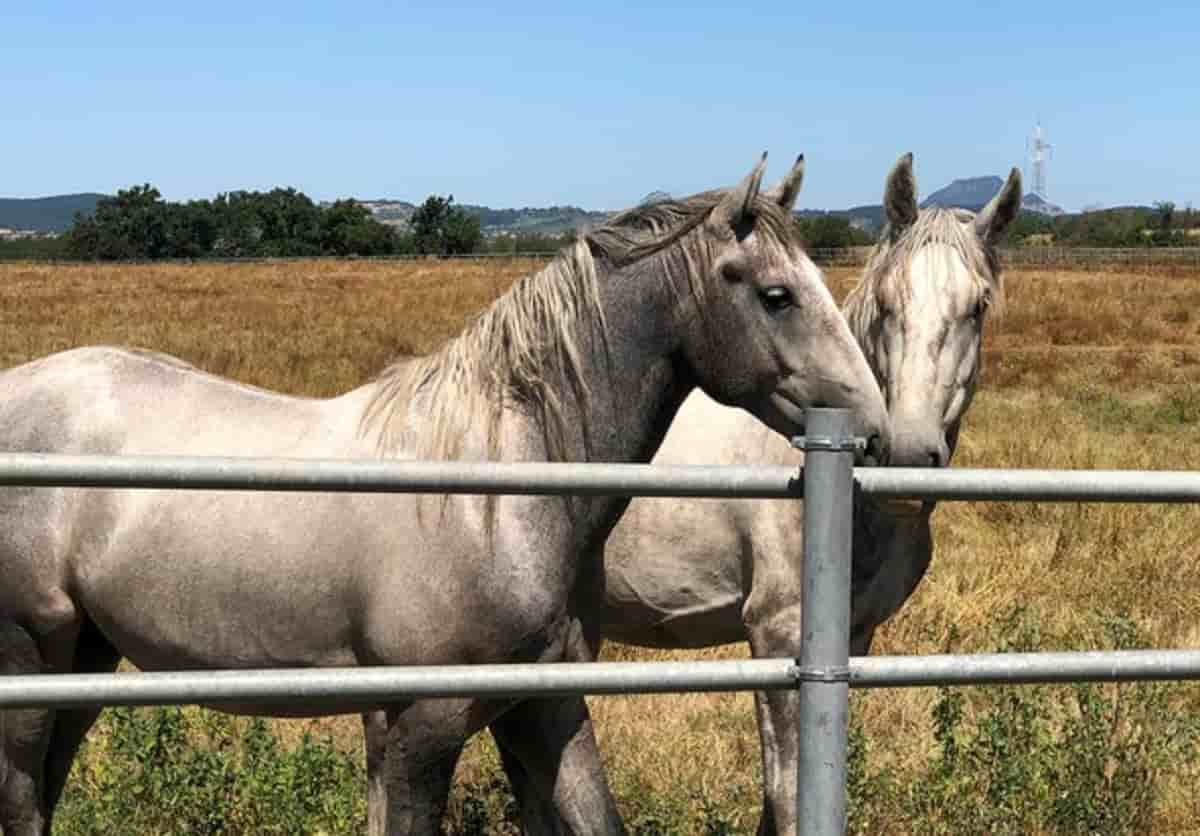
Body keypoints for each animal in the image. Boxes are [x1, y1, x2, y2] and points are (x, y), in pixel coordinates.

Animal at [0, 155, 892, 834]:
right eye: (776, 294)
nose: (878, 433)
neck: (492, 496)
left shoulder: (544, 707)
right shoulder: (421, 720)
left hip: (84, 660)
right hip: (30, 662)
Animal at [451, 153, 1022, 830]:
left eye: (978, 307)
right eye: (886, 302)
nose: (907, 453)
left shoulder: (851, 637)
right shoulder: (777, 635)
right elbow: (788, 795)